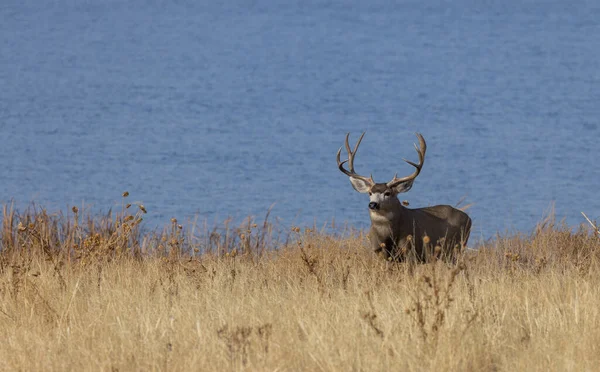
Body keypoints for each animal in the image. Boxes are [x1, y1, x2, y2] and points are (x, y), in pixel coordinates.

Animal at [336, 132, 472, 262]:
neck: (387, 236)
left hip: (455, 248)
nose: (373, 204)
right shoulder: (379, 251)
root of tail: (469, 218)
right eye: (370, 193)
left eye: (388, 193)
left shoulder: (410, 250)